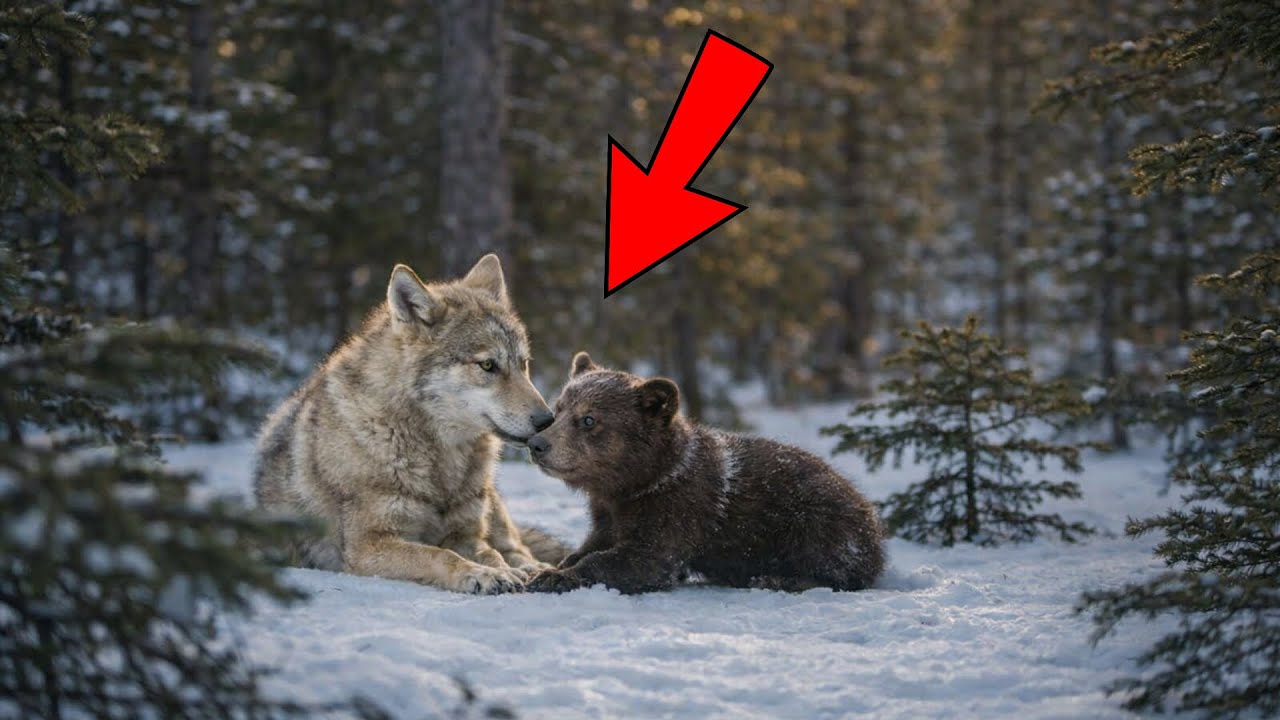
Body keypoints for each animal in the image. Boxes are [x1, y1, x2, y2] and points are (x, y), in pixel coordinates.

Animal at [253, 255, 569, 594]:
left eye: (523, 364)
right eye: (487, 365)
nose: (547, 420)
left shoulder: (467, 535)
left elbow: (492, 553)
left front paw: (502, 571)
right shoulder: (369, 546)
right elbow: (440, 555)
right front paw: (483, 575)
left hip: (490, 506)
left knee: (517, 547)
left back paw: (537, 568)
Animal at [525, 352, 885, 594]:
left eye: (589, 419)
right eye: (558, 409)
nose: (537, 444)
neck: (638, 481)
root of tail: (870, 511)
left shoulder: (677, 509)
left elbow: (641, 560)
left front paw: (555, 576)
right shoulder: (611, 512)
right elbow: (591, 545)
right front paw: (554, 566)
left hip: (813, 518)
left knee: (832, 562)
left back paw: (777, 577)